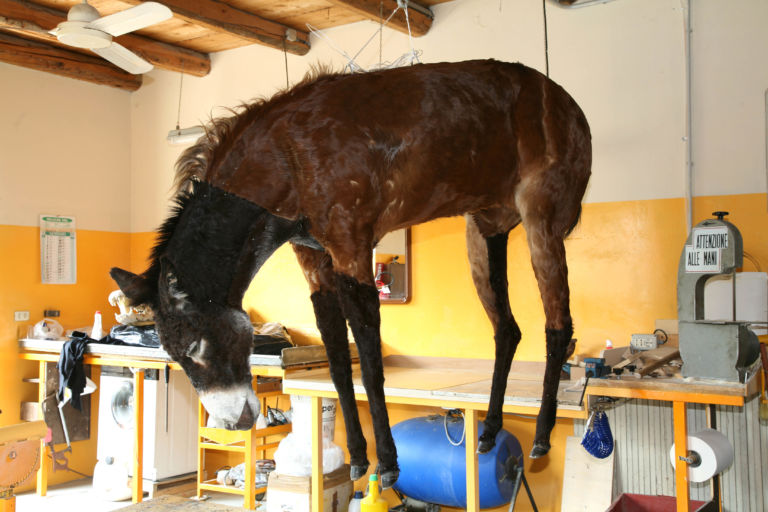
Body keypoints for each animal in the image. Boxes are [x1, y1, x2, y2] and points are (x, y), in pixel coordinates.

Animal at [111, 60, 592, 488]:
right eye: (169, 354)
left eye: (196, 345)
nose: (235, 422)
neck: (286, 159)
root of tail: (570, 106)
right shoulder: (316, 263)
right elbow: (340, 365)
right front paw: (360, 456)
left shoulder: (353, 248)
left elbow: (371, 364)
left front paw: (389, 462)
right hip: (483, 233)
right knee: (508, 330)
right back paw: (490, 430)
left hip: (541, 221)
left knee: (558, 326)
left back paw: (543, 436)